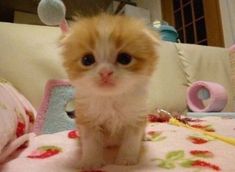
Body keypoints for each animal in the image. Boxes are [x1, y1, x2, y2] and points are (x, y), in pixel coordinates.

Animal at [60, 13, 160, 169]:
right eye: (87, 60)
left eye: (125, 58)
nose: (105, 72)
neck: (111, 98)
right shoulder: (88, 119)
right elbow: (91, 143)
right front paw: (91, 162)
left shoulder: (136, 118)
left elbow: (131, 142)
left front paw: (126, 160)